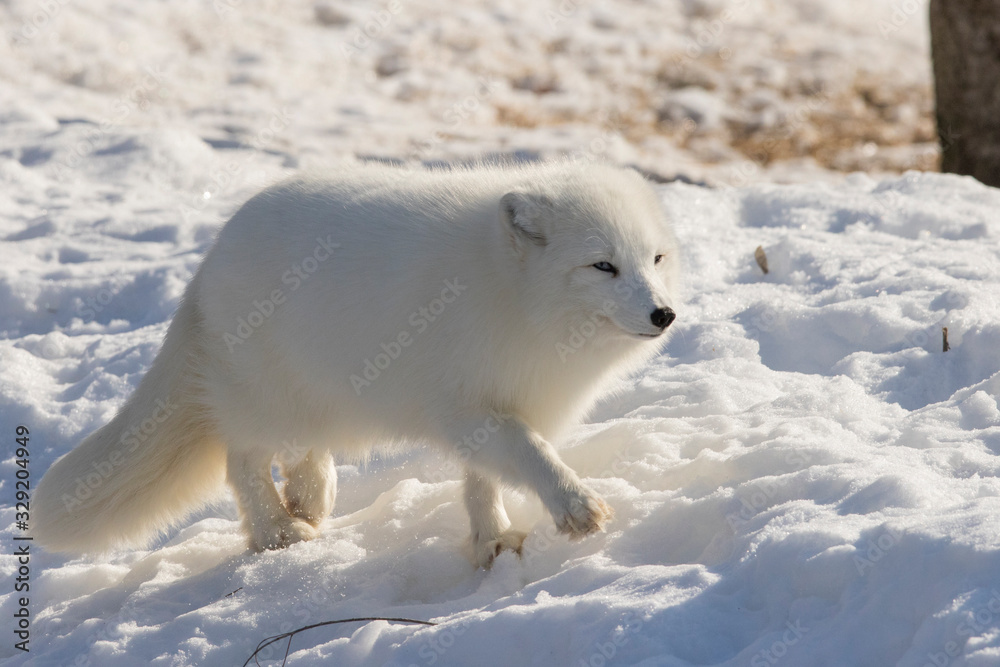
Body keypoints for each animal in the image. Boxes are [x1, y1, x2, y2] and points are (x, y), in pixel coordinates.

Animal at [32, 162, 680, 568]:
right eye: (602, 265)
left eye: (655, 259)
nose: (665, 314)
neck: (515, 299)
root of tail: (211, 257)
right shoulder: (465, 404)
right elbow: (529, 454)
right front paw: (574, 506)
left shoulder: (497, 403)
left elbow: (484, 478)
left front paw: (491, 542)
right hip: (266, 396)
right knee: (241, 461)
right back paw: (277, 531)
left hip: (316, 395)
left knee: (299, 451)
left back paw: (311, 494)